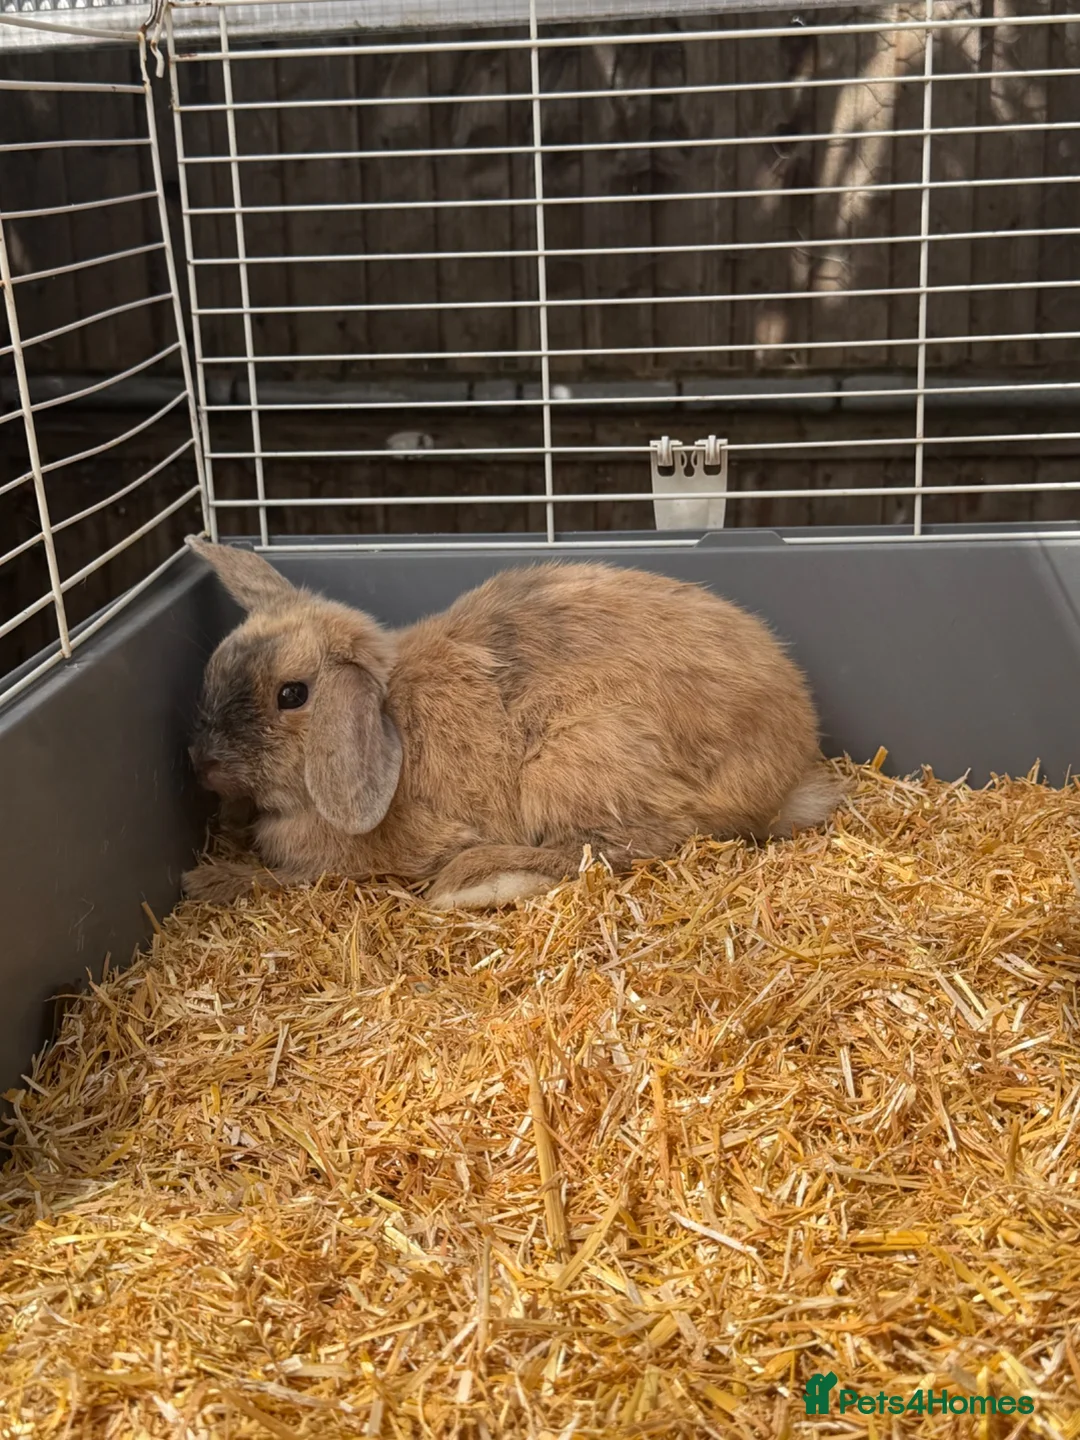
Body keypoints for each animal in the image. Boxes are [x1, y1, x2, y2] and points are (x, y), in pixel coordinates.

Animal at [182, 537, 846, 909]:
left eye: (291, 694)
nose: (200, 764)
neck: (389, 714)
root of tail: (788, 776)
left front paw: (208, 882)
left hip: (570, 763)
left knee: (615, 849)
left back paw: (474, 883)